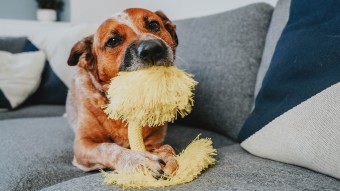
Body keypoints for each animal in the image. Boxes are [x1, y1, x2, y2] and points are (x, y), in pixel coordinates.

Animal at [65, 7, 179, 178]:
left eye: (153, 25)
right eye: (113, 41)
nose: (152, 49)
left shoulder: (153, 141)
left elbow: (165, 147)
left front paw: (169, 156)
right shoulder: (83, 144)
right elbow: (109, 148)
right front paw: (139, 161)